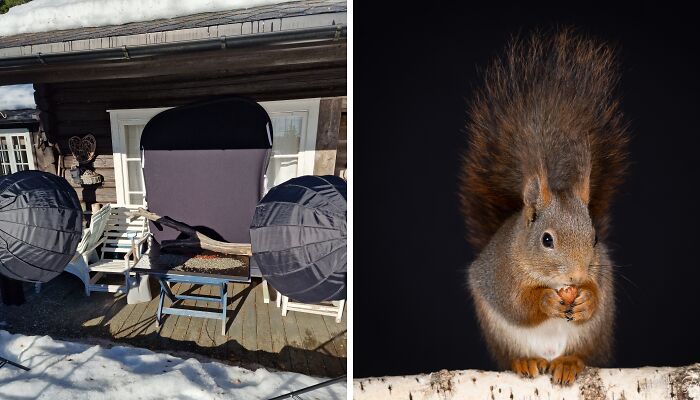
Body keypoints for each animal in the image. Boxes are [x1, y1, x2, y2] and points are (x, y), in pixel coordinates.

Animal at [460, 29, 629, 386]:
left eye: (595, 238)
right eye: (546, 240)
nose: (577, 275)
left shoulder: (601, 271)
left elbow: (596, 295)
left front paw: (586, 298)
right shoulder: (499, 275)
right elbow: (518, 305)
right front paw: (545, 300)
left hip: (592, 335)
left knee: (581, 353)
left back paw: (569, 363)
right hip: (502, 337)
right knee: (515, 353)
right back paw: (525, 361)